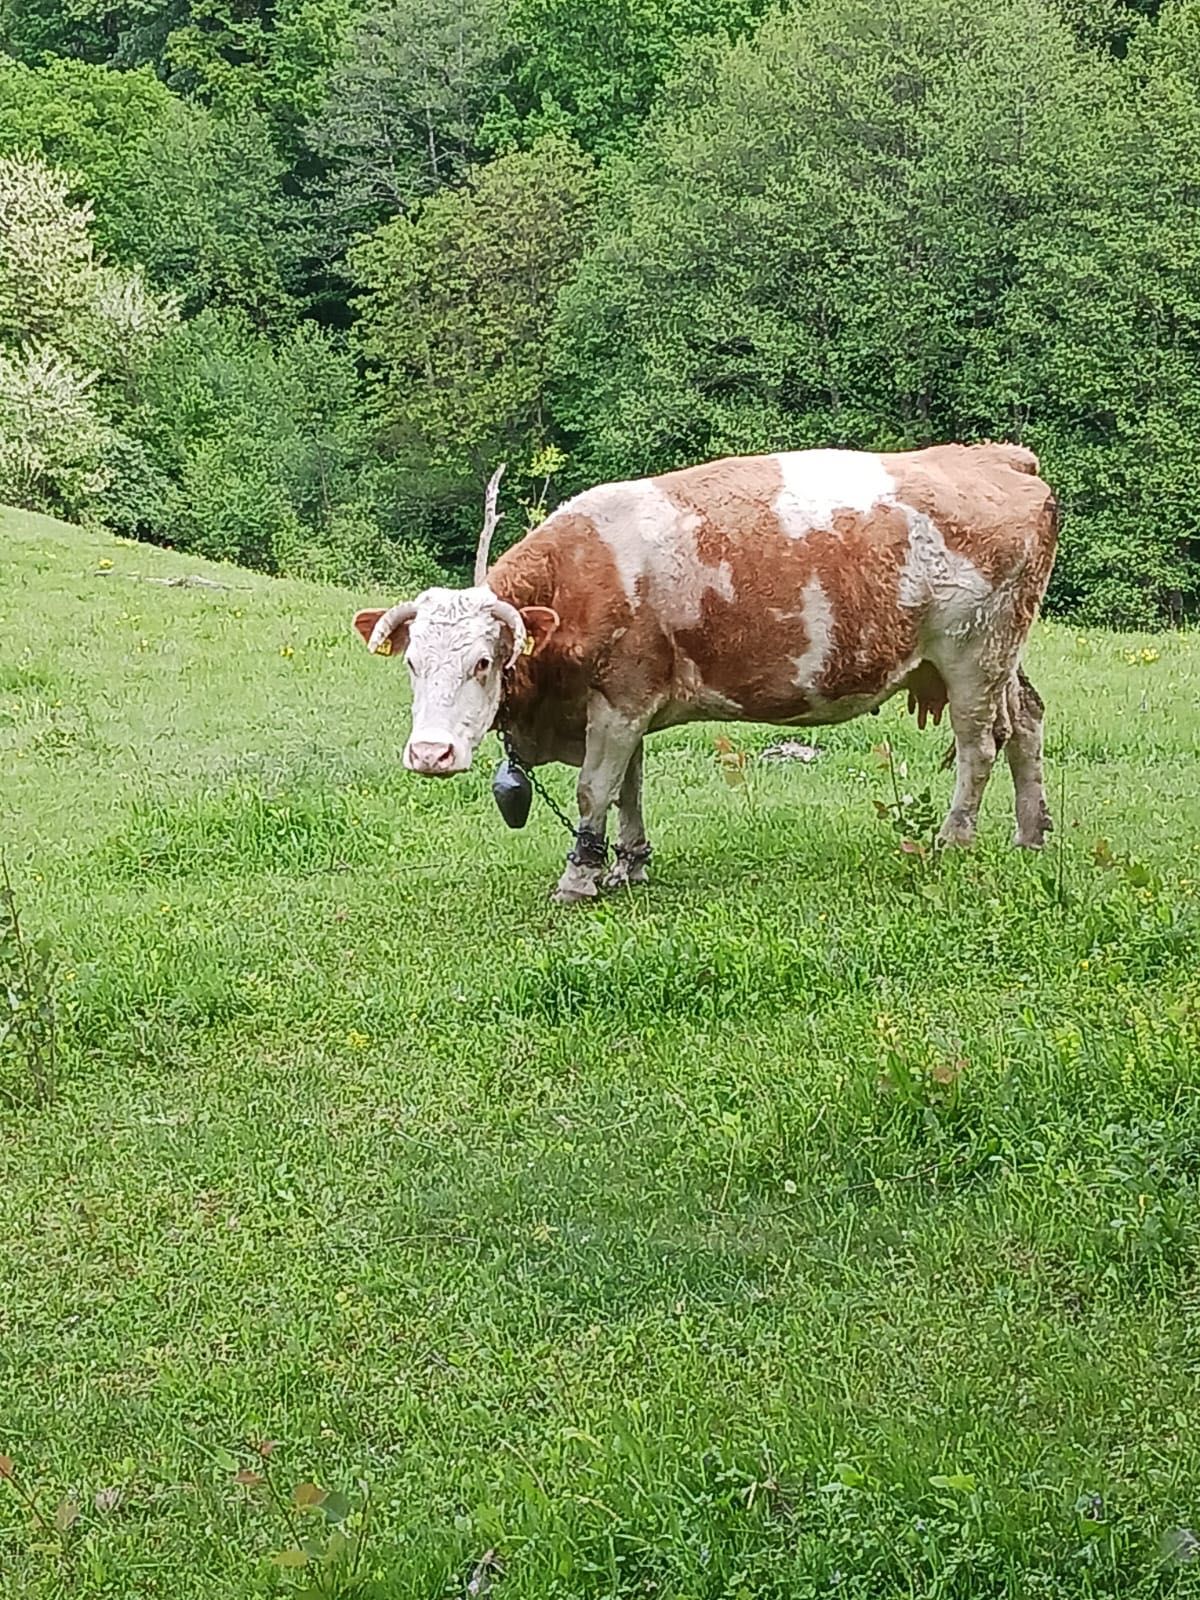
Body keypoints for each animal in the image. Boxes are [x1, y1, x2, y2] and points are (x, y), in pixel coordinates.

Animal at [352, 444, 1056, 902]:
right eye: (412, 662)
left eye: (483, 661)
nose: (430, 754)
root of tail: (998, 457)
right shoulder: (625, 708)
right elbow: (629, 790)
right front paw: (628, 867)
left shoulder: (621, 699)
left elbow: (593, 792)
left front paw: (580, 878)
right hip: (1002, 658)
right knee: (1026, 722)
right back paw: (1031, 835)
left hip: (973, 658)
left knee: (978, 747)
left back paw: (953, 842)